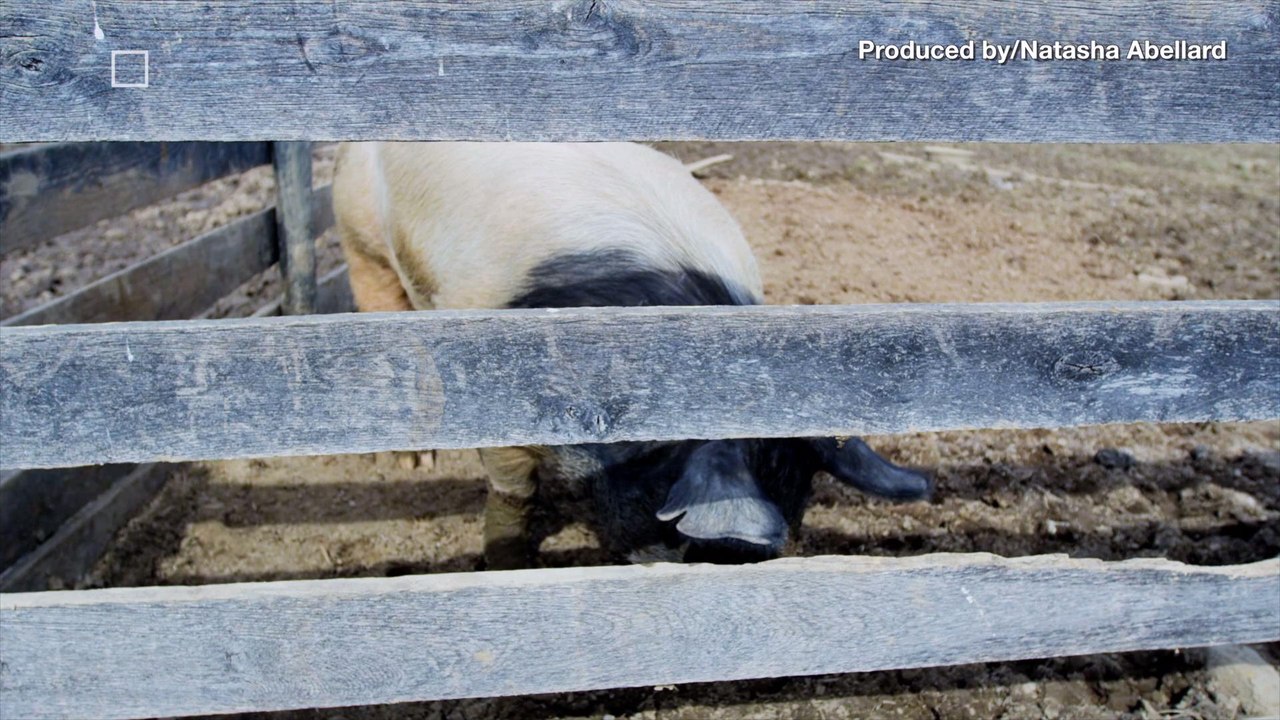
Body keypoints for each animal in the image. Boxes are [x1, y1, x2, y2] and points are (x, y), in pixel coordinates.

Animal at [332, 141, 931, 569]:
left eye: (799, 505)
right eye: (684, 533)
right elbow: (512, 491)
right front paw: (508, 562)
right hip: (359, 231)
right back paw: (409, 460)